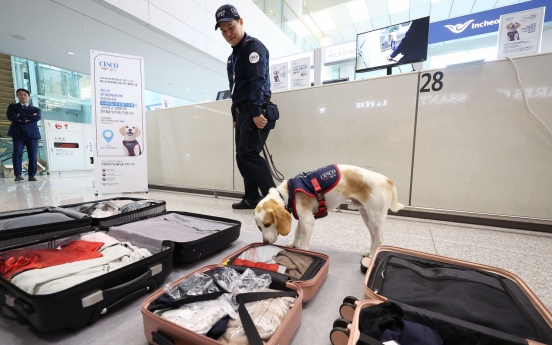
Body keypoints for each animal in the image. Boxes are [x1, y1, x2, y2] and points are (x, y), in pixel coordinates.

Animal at [252, 163, 404, 255]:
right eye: (259, 228)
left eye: (267, 224)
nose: (265, 243)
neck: (287, 193)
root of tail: (387, 180)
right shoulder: (302, 219)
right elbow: (297, 233)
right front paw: (293, 244)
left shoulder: (308, 220)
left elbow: (304, 243)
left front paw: (303, 252)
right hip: (366, 217)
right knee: (374, 237)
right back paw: (370, 252)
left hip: (375, 218)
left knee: (380, 240)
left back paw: (372, 256)